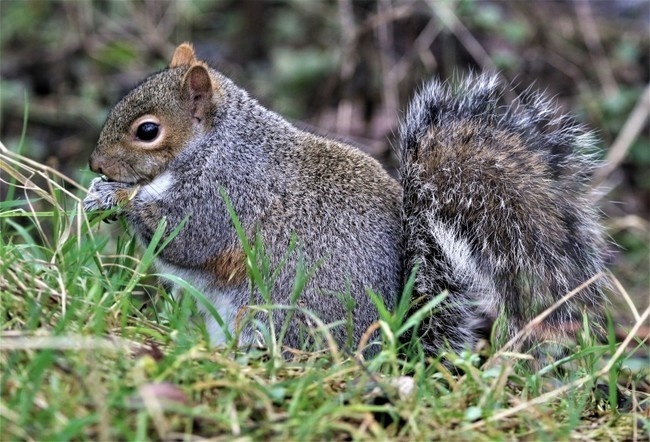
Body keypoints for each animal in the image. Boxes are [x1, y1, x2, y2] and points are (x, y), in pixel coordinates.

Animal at [83, 41, 604, 360]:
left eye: (148, 131)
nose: (95, 164)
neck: (214, 144)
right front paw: (98, 195)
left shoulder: (226, 193)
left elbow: (183, 236)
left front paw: (118, 198)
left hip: (277, 316)